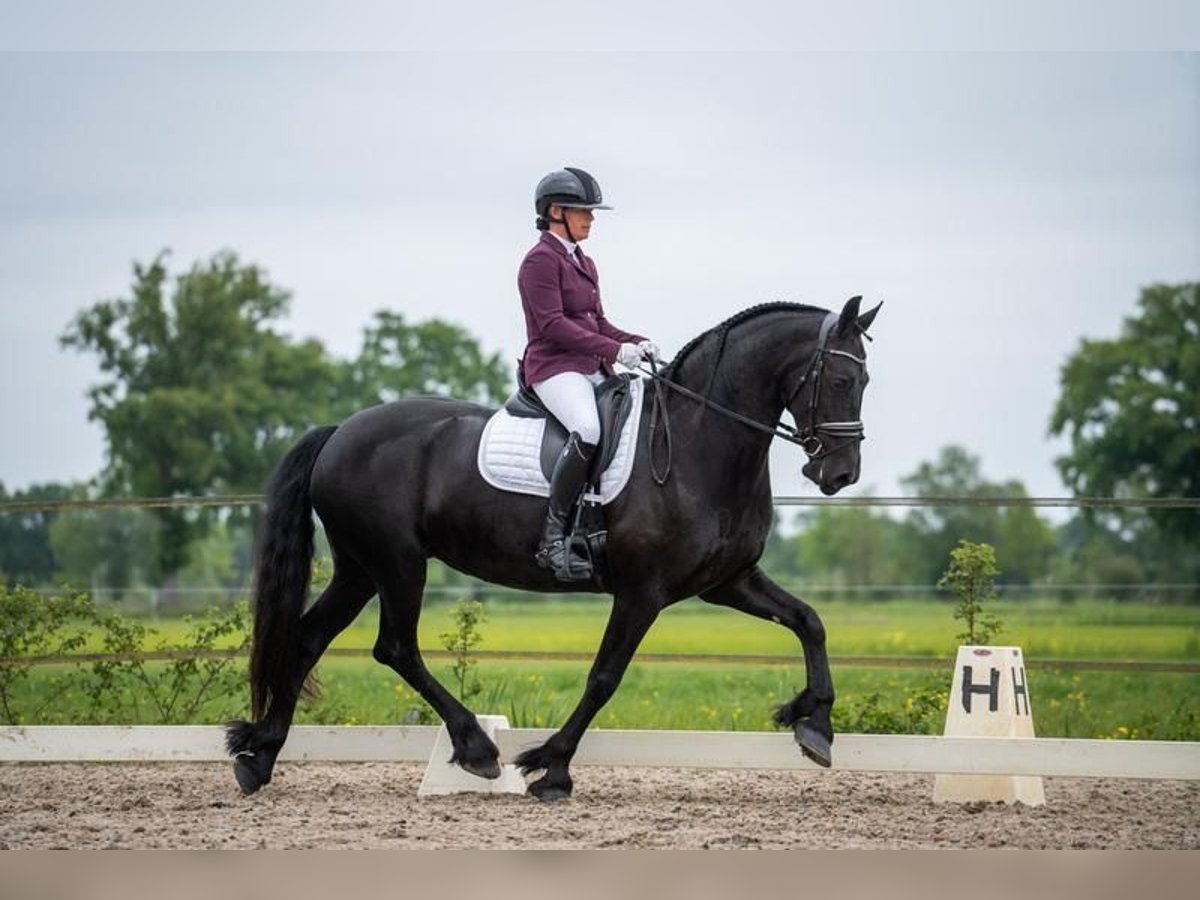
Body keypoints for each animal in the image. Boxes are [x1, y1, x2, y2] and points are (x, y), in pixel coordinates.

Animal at [226, 295, 881, 800]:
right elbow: (604, 678)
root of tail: (342, 430)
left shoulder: (728, 581)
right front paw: (551, 767)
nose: (840, 474)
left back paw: (260, 757)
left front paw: (814, 723)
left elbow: (809, 621)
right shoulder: (644, 592)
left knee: (308, 638)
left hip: (360, 568)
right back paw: (476, 747)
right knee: (395, 648)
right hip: (398, 564)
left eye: (865, 382)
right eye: (841, 380)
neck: (700, 442)